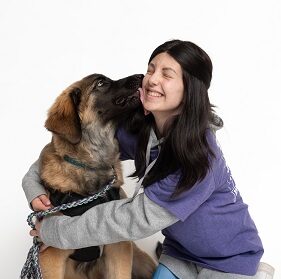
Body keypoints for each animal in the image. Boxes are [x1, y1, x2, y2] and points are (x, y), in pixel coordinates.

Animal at [37, 74, 155, 279]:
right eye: (101, 83)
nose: (141, 76)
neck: (92, 165)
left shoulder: (119, 246)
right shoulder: (52, 255)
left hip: (142, 261)